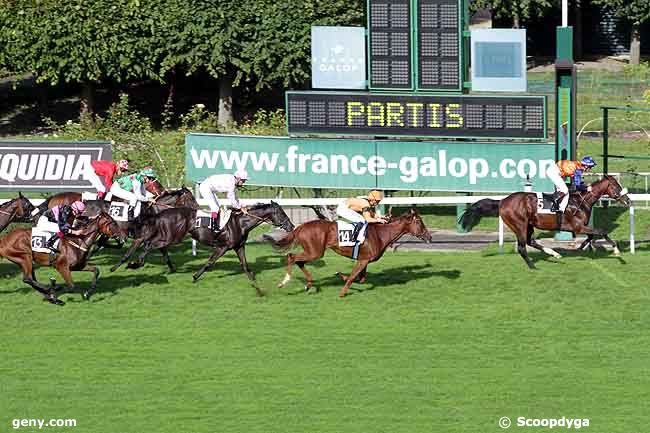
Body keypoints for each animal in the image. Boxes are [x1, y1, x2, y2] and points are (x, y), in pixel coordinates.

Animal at [264, 207, 430, 296]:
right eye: (419, 222)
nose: (429, 236)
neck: (381, 234)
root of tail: (301, 227)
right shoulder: (363, 260)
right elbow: (353, 277)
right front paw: (343, 292)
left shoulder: (364, 260)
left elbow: (360, 278)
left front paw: (340, 275)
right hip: (315, 252)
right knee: (292, 257)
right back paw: (284, 282)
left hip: (313, 251)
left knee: (299, 261)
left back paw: (309, 284)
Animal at [458, 174, 632, 268]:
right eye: (617, 186)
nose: (628, 200)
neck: (581, 201)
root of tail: (502, 201)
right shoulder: (577, 227)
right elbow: (602, 231)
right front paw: (616, 250)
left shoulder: (581, 227)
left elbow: (591, 236)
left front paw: (579, 248)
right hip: (519, 224)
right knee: (522, 247)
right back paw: (533, 266)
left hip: (529, 224)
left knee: (530, 242)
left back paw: (554, 254)